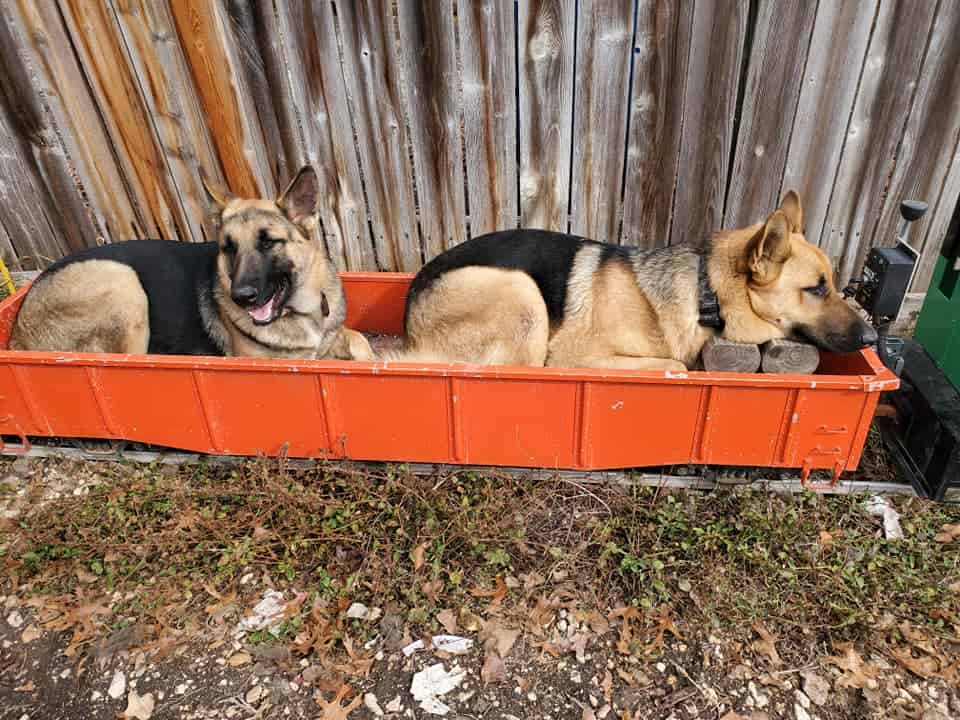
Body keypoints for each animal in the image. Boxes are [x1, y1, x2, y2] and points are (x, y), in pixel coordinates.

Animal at [8, 166, 376, 362]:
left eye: (268, 242)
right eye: (228, 248)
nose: (241, 297)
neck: (300, 309)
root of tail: (16, 335)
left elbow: (360, 340)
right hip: (123, 283)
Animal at [382, 191, 876, 372]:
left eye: (832, 283)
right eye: (816, 288)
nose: (873, 337)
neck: (706, 292)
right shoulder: (574, 355)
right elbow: (676, 365)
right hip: (522, 295)